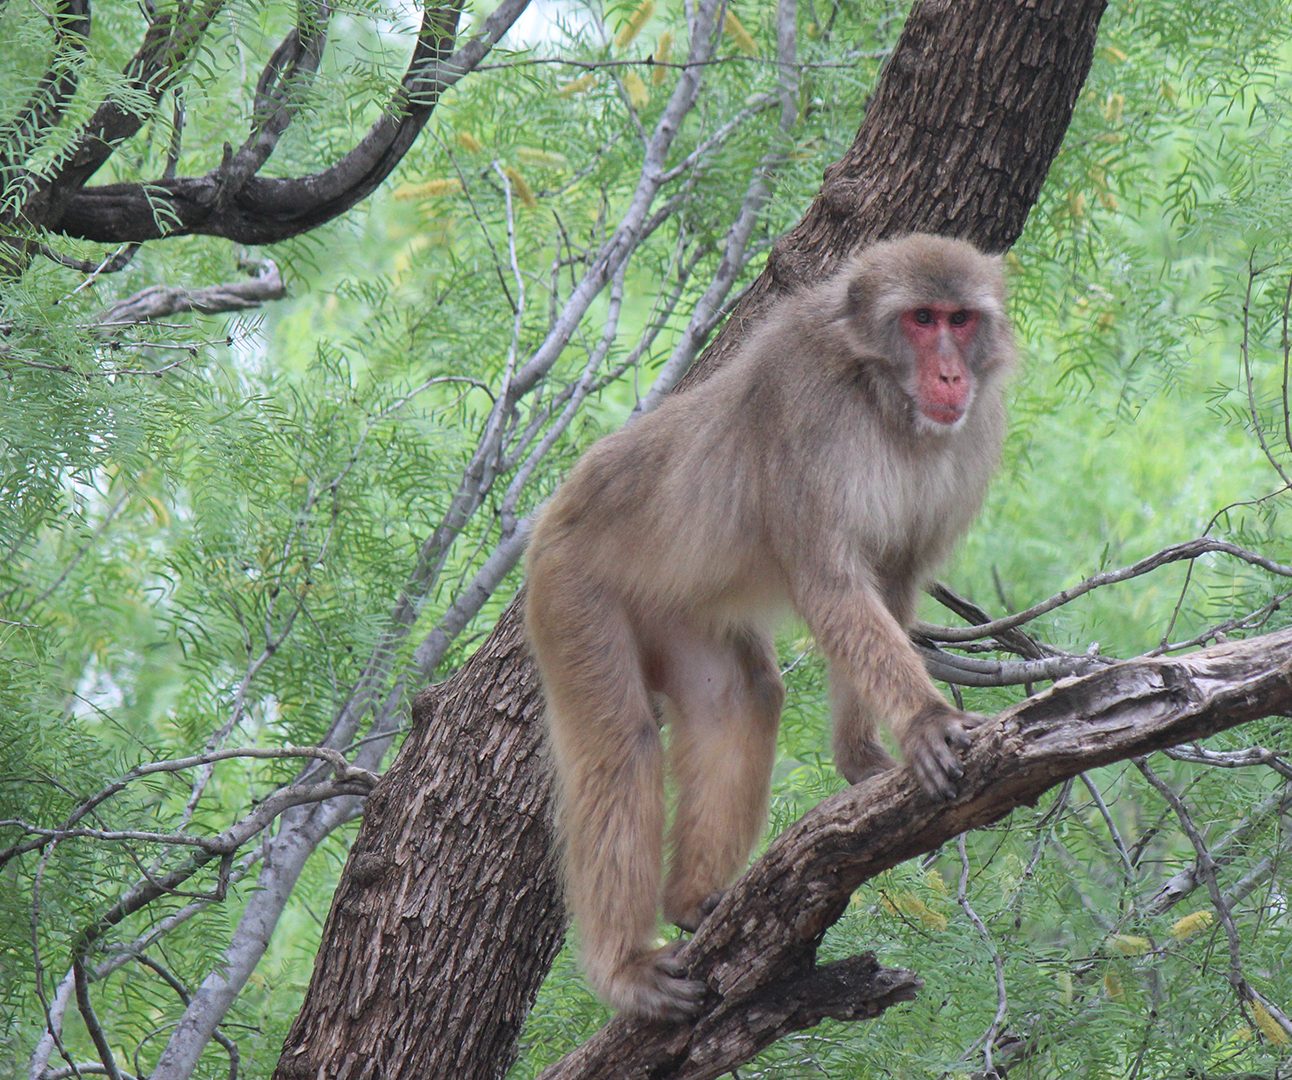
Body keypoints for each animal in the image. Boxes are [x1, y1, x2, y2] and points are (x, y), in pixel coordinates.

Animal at [524, 233, 1018, 1023]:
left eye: (961, 320)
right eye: (921, 319)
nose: (949, 373)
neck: (882, 402)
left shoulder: (970, 439)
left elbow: (888, 581)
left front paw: (861, 758)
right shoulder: (806, 413)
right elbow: (830, 584)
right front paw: (927, 721)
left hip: (678, 612)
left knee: (741, 698)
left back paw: (692, 898)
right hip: (572, 593)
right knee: (620, 745)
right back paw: (624, 966)